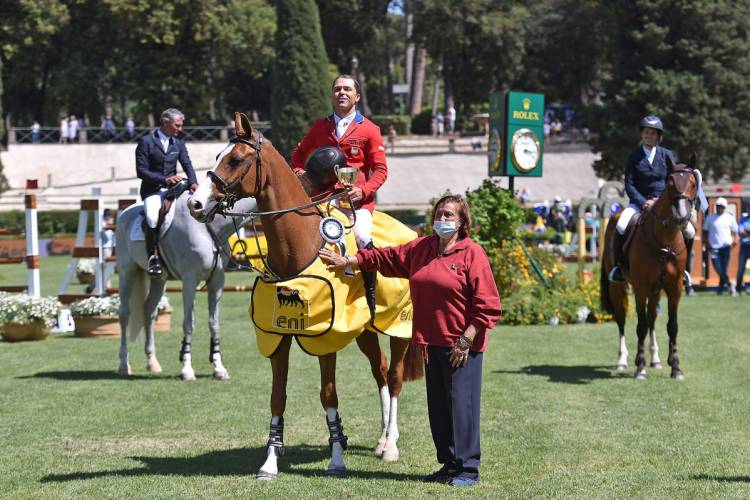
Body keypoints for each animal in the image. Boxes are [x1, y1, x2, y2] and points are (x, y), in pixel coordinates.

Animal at [116, 191, 258, 378]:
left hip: (158, 281)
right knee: (124, 314)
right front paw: (187, 369)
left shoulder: (217, 281)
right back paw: (124, 365)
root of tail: (124, 213)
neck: (209, 226)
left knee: (149, 311)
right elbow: (189, 324)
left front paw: (218, 368)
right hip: (127, 274)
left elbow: (214, 324)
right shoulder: (190, 281)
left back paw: (152, 362)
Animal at [188, 111, 424, 478]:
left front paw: (337, 458)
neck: (297, 248)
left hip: (399, 329)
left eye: (236, 159)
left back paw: (391, 446)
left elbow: (329, 395)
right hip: (365, 332)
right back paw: (381, 439)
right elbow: (277, 397)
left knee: (395, 377)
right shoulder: (277, 338)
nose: (195, 203)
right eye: (216, 156)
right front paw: (270, 462)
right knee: (380, 372)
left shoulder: (326, 339)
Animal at [604, 153, 704, 378]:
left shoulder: (674, 288)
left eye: (693, 183)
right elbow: (640, 326)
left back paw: (656, 359)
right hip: (618, 288)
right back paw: (623, 360)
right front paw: (640, 367)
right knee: (621, 320)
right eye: (670, 183)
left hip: (656, 290)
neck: (665, 240)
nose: (681, 217)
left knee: (652, 319)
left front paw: (675, 367)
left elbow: (672, 326)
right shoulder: (640, 288)